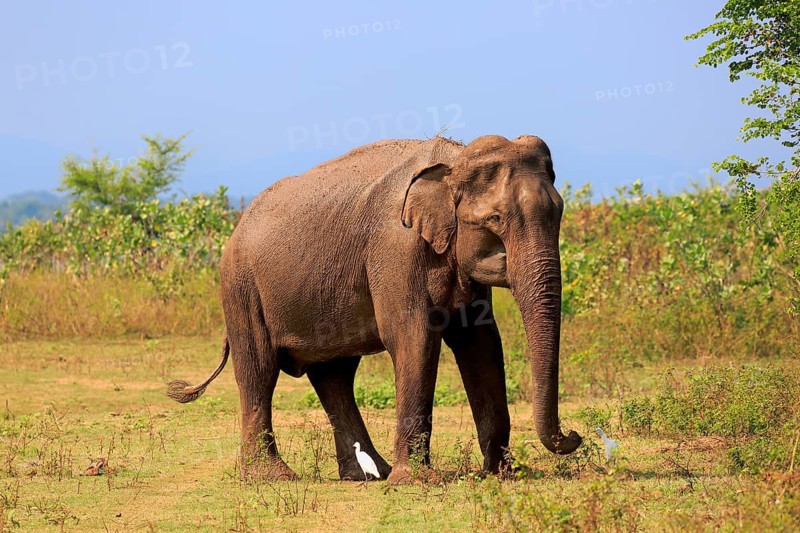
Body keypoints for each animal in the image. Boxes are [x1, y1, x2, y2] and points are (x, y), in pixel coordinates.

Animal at [167, 134, 582, 483]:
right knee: (259, 370)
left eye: (560, 212)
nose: (574, 435)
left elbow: (481, 343)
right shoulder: (397, 249)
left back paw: (367, 475)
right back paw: (272, 477)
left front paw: (502, 475)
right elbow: (414, 338)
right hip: (240, 287)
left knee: (333, 376)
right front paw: (417, 481)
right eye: (495, 220)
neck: (452, 161)